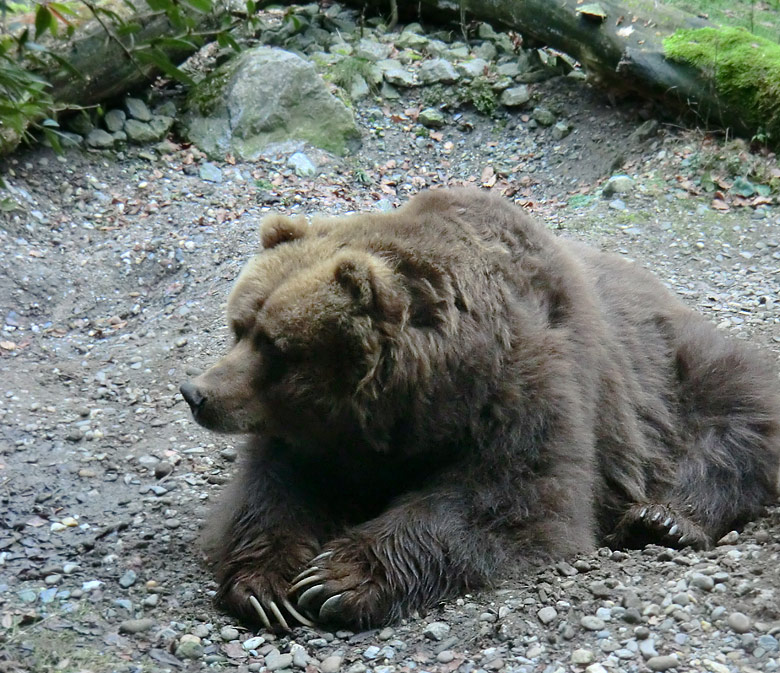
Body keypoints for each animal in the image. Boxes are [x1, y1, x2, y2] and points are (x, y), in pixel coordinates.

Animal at [180, 188, 780, 632]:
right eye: (239, 326)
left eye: (276, 348)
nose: (197, 393)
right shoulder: (317, 436)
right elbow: (274, 490)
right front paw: (269, 588)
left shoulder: (529, 386)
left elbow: (510, 499)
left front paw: (336, 579)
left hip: (671, 369)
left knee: (738, 415)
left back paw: (665, 518)